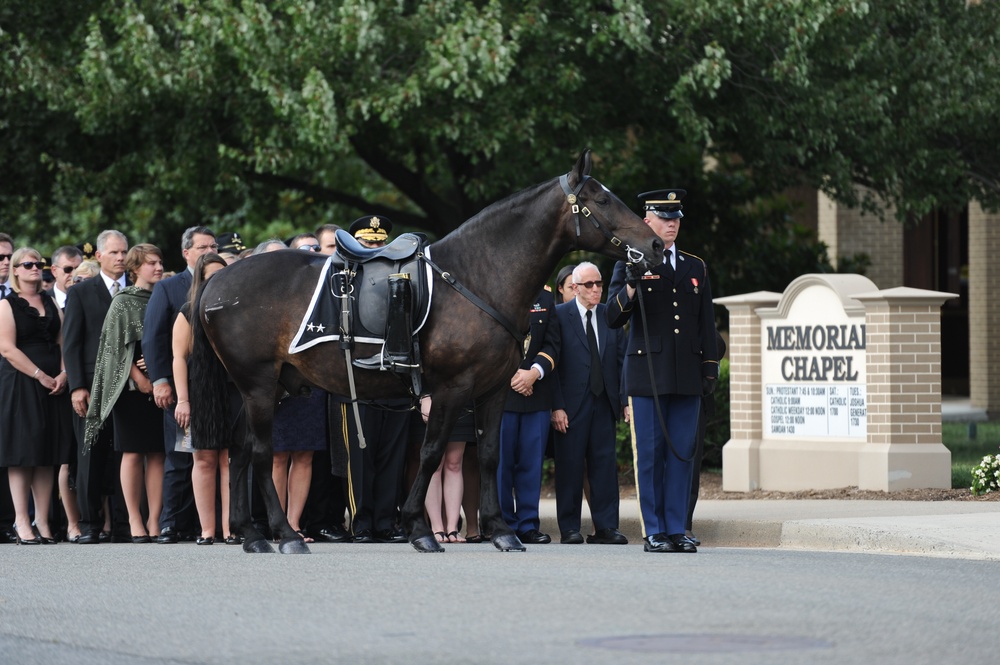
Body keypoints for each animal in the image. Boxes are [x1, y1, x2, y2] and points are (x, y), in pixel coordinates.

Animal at [190, 153, 660, 552]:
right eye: (602, 199)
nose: (656, 246)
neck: (479, 275)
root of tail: (218, 281)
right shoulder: (453, 388)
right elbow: (432, 454)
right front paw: (420, 528)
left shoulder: (493, 389)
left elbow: (489, 456)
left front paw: (501, 530)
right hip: (258, 385)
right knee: (260, 453)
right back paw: (285, 534)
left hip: (266, 388)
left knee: (241, 450)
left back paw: (252, 535)